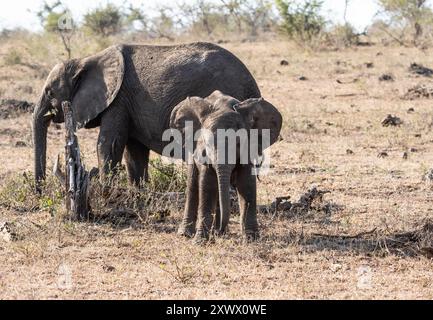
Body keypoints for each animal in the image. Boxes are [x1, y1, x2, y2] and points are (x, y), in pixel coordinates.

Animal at [33, 41, 260, 190]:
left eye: (49, 93)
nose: (39, 190)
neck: (87, 59)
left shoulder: (118, 99)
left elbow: (108, 144)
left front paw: (105, 192)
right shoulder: (129, 103)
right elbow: (133, 151)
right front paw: (137, 193)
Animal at [169, 89, 284, 240]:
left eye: (238, 144)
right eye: (208, 144)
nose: (219, 230)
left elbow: (246, 184)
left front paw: (251, 238)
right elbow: (207, 184)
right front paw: (200, 240)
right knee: (194, 184)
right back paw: (188, 234)